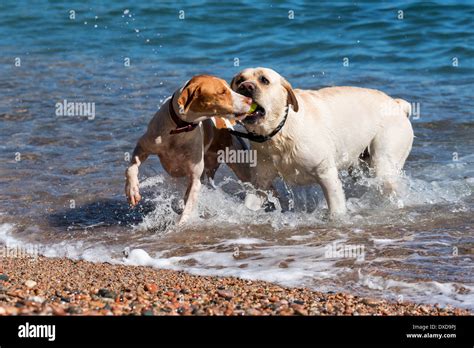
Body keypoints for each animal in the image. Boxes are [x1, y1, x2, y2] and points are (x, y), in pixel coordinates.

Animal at [125, 75, 252, 224]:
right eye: (222, 92)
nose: (250, 100)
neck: (179, 129)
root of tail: (225, 123)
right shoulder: (142, 147)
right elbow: (131, 168)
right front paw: (132, 190)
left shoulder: (195, 178)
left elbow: (186, 210)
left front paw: (180, 224)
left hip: (240, 163)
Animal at [231, 67, 412, 218]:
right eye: (239, 80)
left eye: (264, 80)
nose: (246, 87)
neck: (279, 133)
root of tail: (398, 104)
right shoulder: (260, 183)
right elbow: (250, 202)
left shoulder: (326, 175)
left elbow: (336, 208)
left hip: (384, 159)